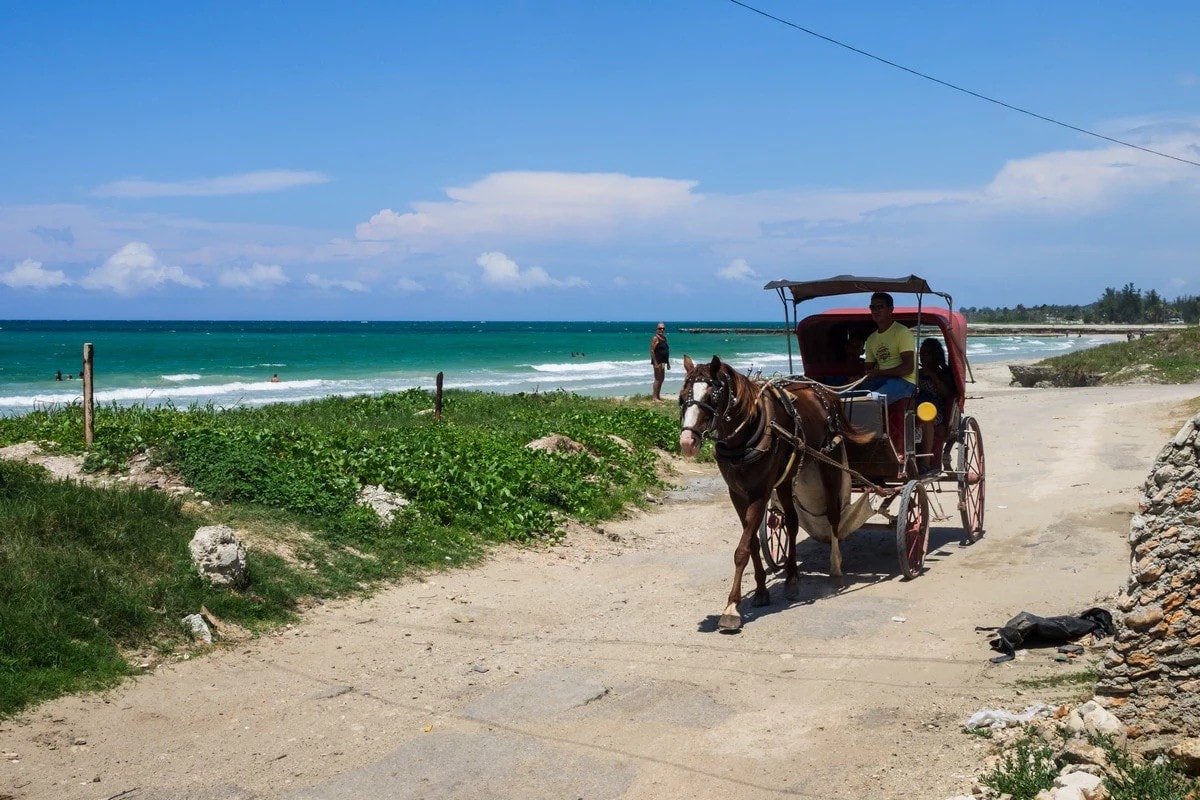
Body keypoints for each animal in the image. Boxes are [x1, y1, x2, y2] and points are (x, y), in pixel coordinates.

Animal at [676, 357, 873, 633]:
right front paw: (760, 590)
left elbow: (742, 549)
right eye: (683, 396)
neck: (746, 434)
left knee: (833, 516)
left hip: (828, 463)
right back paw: (791, 578)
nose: (687, 442)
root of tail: (823, 391)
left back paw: (835, 566)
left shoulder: (761, 492)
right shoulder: (737, 493)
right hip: (787, 479)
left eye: (712, 396)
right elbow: (752, 543)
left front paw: (731, 608)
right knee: (791, 521)